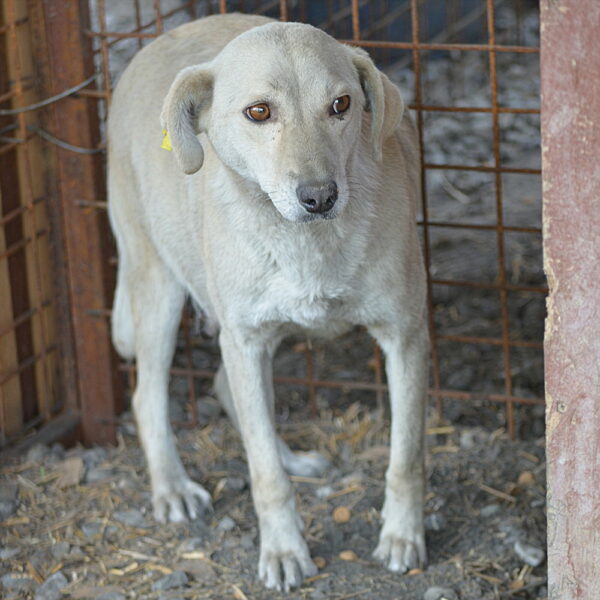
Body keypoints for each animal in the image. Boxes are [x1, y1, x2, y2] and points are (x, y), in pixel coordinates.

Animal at [106, 11, 426, 592]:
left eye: (341, 105)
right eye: (259, 112)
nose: (320, 197)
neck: (307, 244)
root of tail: (153, 45)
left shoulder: (406, 334)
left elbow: (406, 456)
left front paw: (402, 535)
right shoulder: (246, 340)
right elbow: (263, 476)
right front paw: (282, 549)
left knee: (225, 390)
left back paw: (289, 455)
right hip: (158, 288)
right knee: (147, 397)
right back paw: (172, 487)